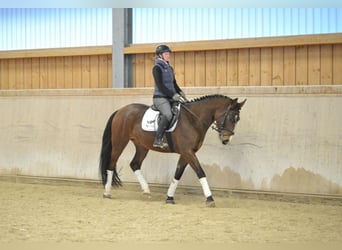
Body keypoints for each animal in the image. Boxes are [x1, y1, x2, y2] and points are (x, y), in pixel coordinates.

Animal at [99, 94, 246, 207]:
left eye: (237, 119)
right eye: (231, 117)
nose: (226, 140)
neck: (193, 120)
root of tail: (120, 110)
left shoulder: (186, 153)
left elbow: (177, 174)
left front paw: (169, 197)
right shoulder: (188, 152)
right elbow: (200, 172)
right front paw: (210, 199)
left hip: (142, 146)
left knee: (134, 164)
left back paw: (146, 190)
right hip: (120, 142)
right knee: (111, 163)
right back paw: (107, 193)